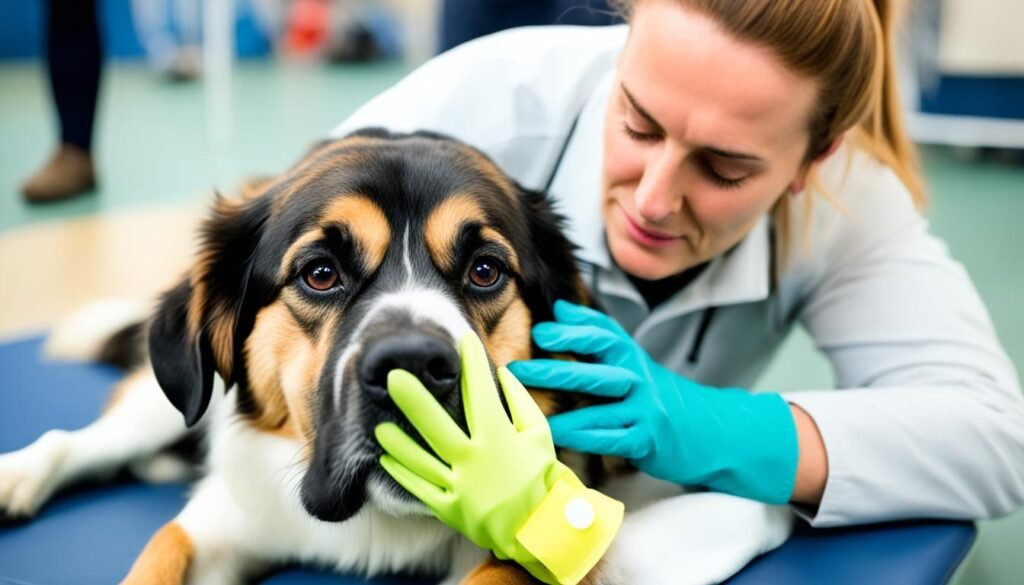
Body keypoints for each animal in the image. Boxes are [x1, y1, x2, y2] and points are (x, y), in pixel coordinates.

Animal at [0, 129, 790, 585]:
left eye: (484, 271)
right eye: (320, 273)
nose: (411, 364)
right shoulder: (226, 516)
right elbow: (161, 551)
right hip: (160, 405)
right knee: (91, 437)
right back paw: (22, 473)